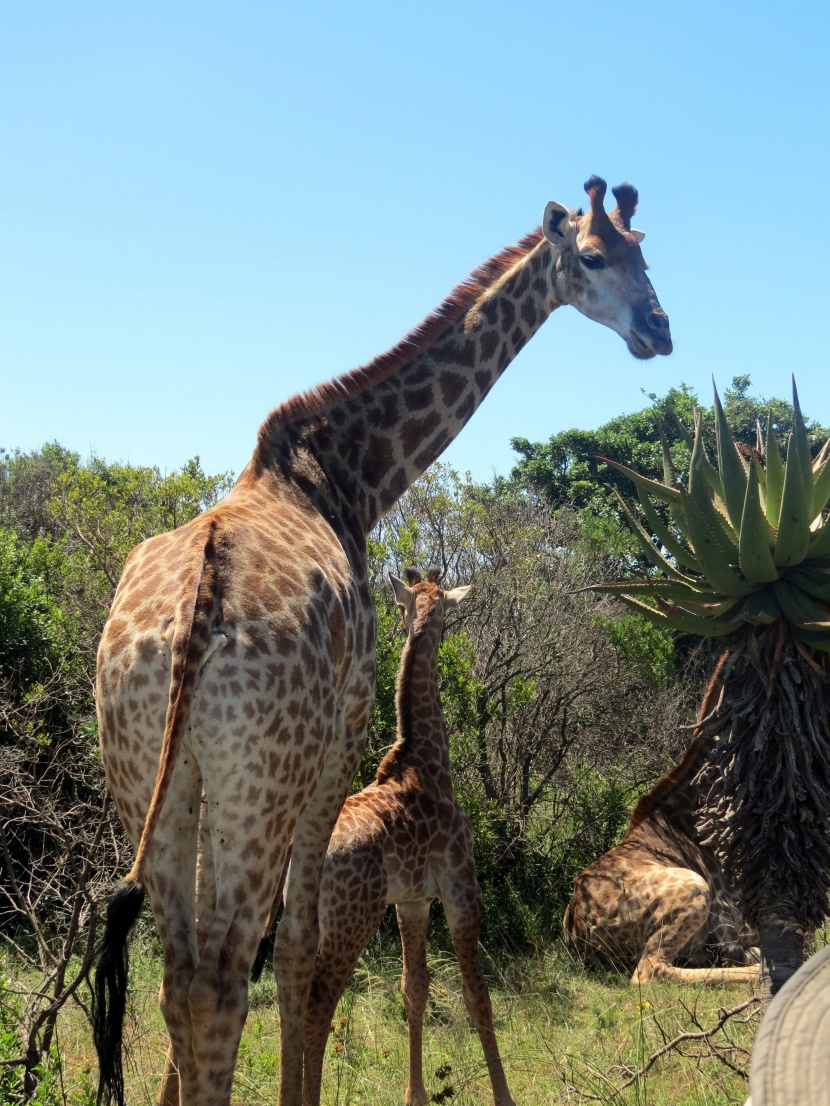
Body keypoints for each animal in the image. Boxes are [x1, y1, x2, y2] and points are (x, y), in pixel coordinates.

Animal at [92, 174, 677, 1106]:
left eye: (645, 252)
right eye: (593, 257)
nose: (660, 330)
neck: (351, 476)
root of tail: (194, 617)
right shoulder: (344, 733)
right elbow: (297, 952)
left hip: (152, 770)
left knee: (177, 977)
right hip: (262, 775)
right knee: (225, 980)